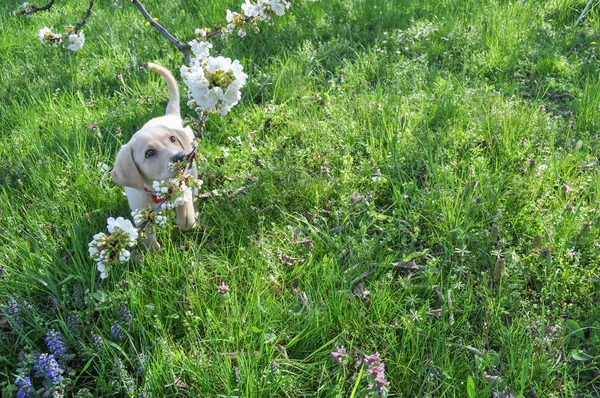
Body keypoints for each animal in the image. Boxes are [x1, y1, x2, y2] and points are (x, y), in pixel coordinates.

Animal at [111, 63, 198, 249]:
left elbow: (185, 217)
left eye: (172, 139)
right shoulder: (139, 211)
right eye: (149, 153)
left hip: (193, 171)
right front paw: (154, 252)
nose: (181, 156)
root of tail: (170, 115)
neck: (158, 190)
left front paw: (187, 222)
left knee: (195, 192)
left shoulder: (182, 187)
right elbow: (148, 236)